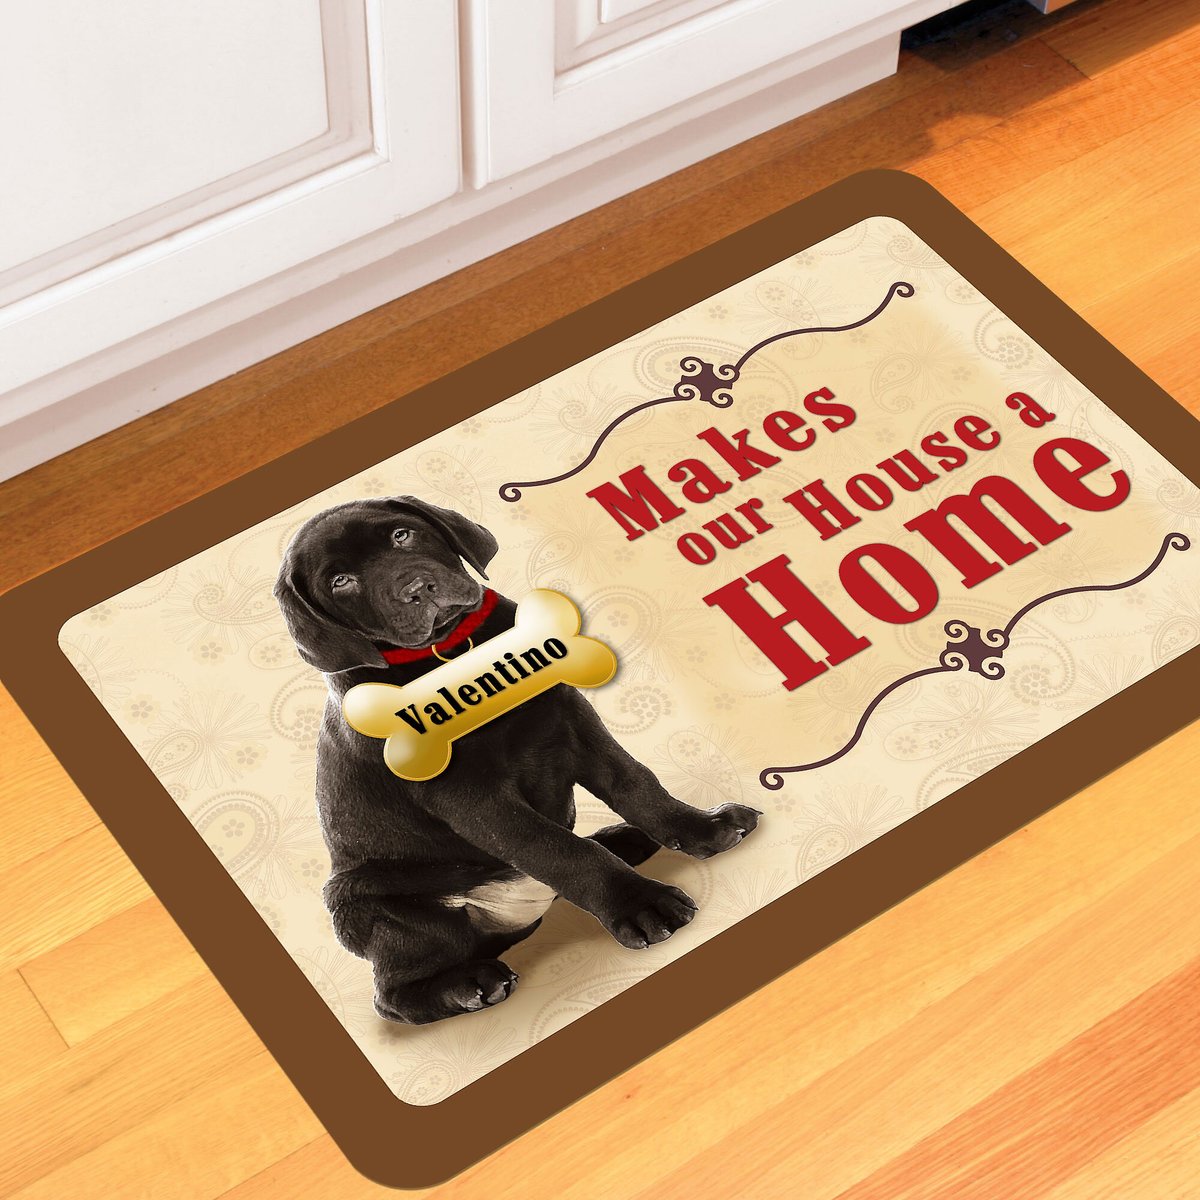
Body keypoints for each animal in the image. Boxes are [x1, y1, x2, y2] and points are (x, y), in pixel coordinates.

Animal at [276, 496, 758, 1022]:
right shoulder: (469, 796)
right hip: (370, 905)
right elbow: (556, 849)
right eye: (341, 582)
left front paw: (702, 828)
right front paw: (640, 903)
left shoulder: (571, 715)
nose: (417, 589)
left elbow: (634, 781)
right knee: (394, 996)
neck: (453, 655)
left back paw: (625, 838)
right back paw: (470, 984)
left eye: (402, 535)